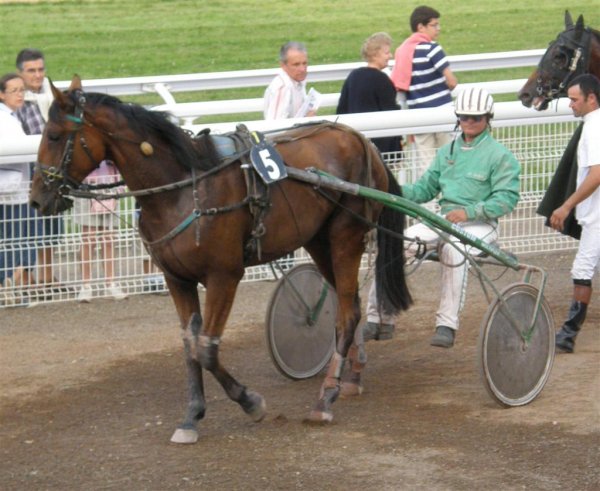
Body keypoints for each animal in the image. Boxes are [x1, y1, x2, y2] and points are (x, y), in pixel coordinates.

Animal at [29, 76, 412, 446]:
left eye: (54, 135)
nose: (36, 198)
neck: (183, 189)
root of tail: (361, 139)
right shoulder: (176, 279)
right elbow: (189, 345)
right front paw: (191, 417)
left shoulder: (223, 275)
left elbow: (207, 349)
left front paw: (251, 402)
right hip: (318, 240)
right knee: (352, 305)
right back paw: (352, 375)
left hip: (345, 235)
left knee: (346, 314)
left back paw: (325, 398)